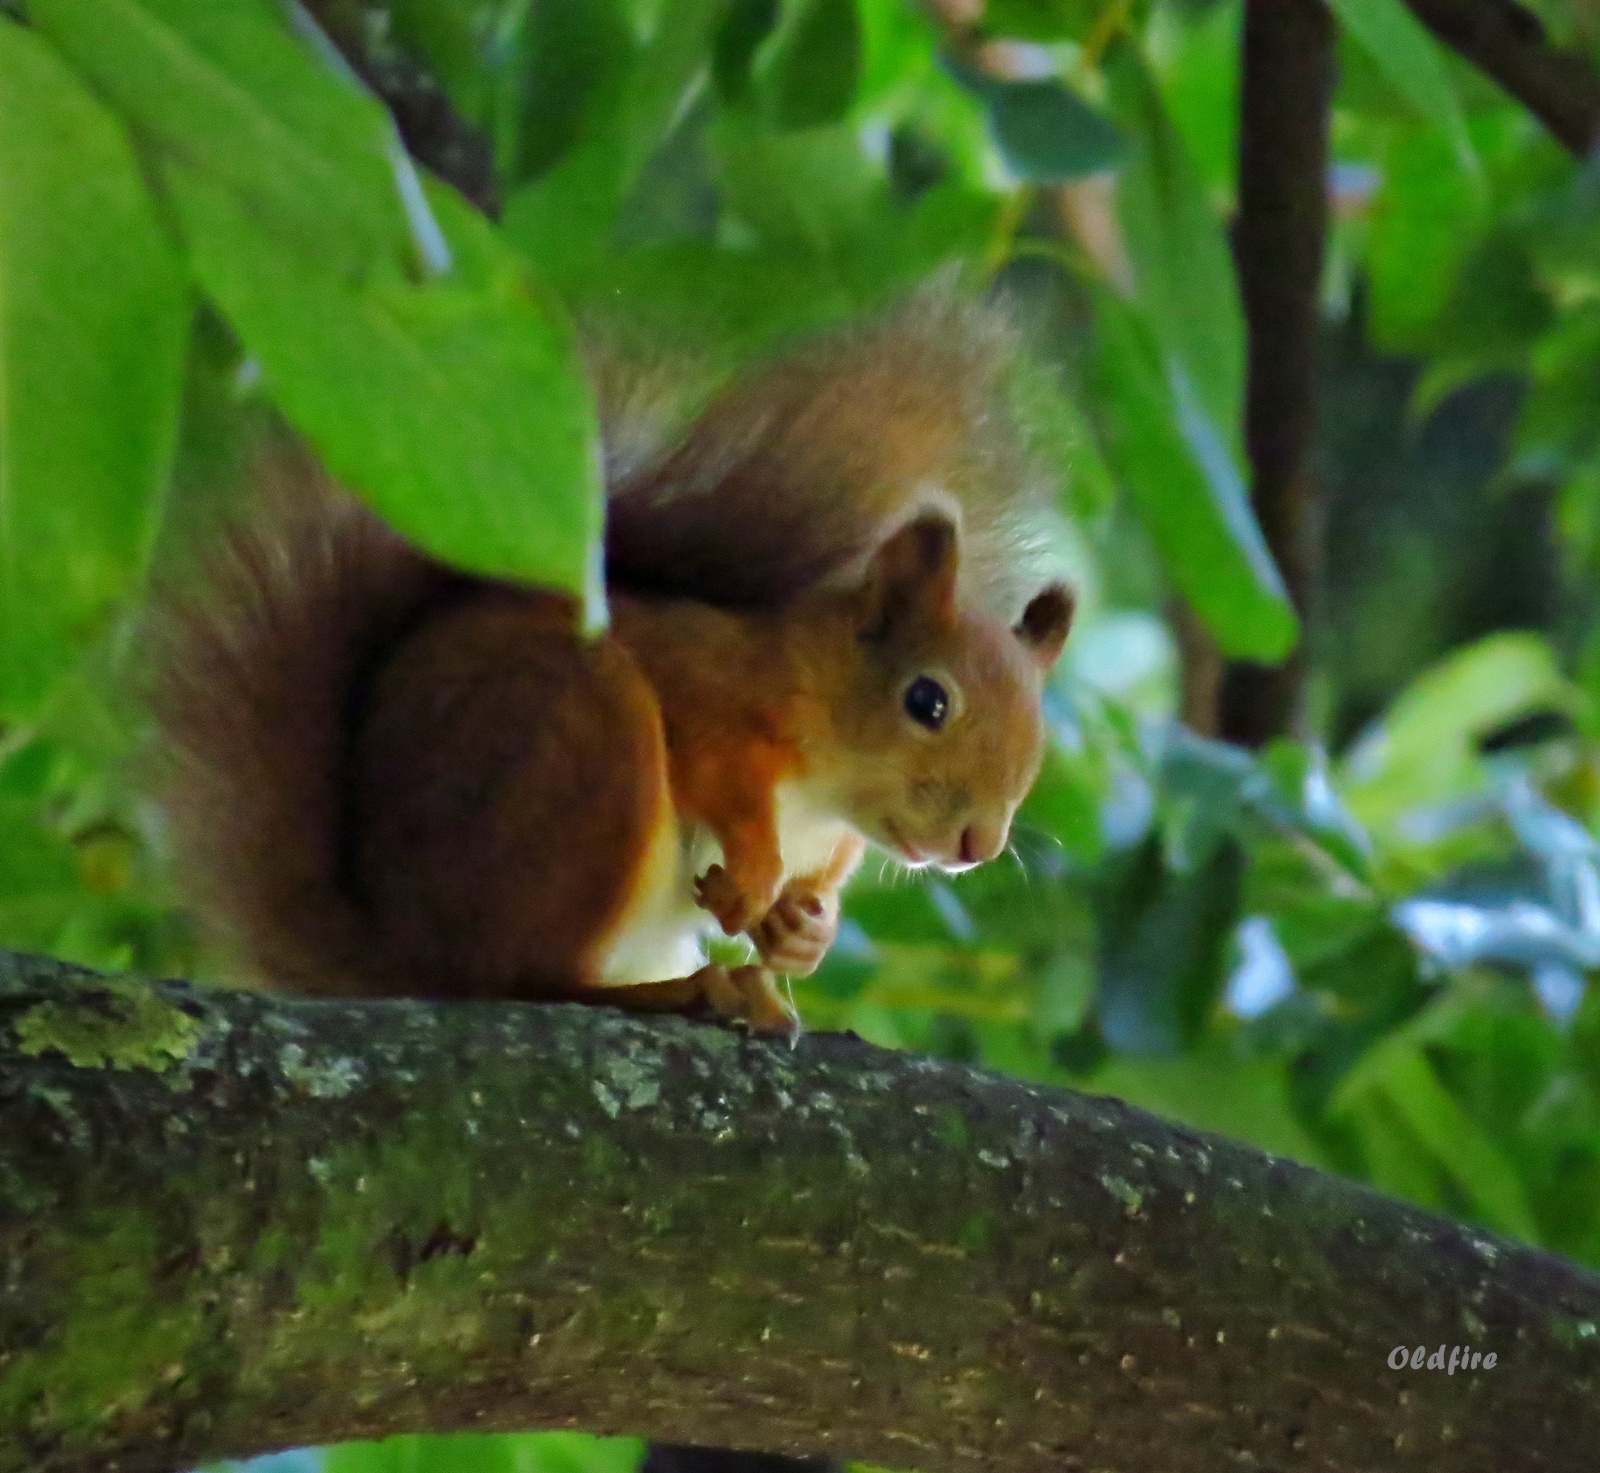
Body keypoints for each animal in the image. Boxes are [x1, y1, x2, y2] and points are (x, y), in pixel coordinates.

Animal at [150, 292, 1075, 1042]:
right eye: (927, 701)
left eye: (1035, 744)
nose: (977, 843)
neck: (827, 794)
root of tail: (406, 953)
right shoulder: (709, 686)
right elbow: (717, 765)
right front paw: (754, 874)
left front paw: (802, 930)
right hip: (585, 754)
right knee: (523, 978)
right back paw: (683, 992)